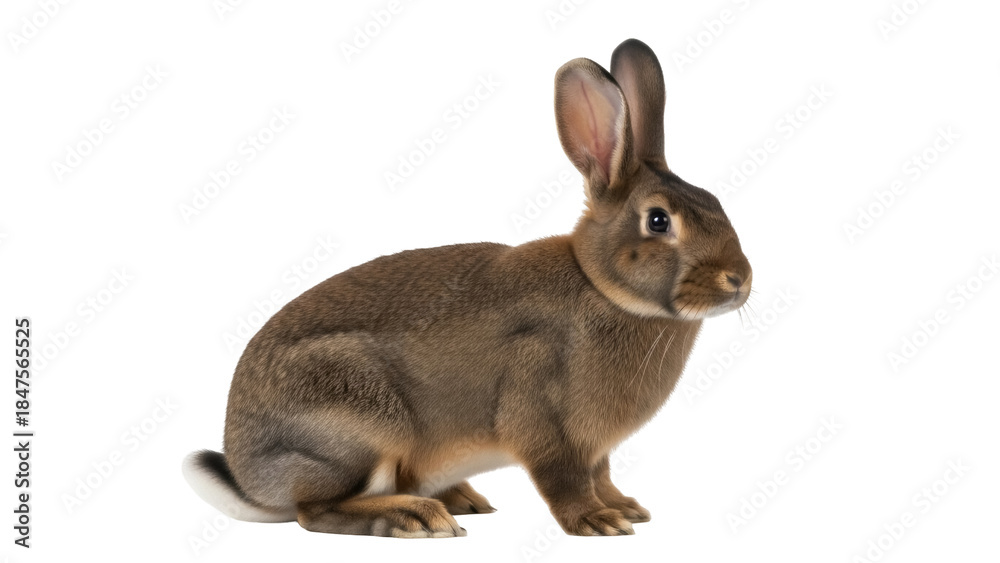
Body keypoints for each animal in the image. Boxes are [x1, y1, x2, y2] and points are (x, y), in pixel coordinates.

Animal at [183, 38, 752, 538]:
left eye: (715, 201)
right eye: (658, 221)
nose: (740, 279)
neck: (601, 286)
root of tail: (250, 476)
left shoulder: (596, 449)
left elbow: (602, 473)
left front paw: (625, 507)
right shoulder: (542, 418)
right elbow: (563, 479)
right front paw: (598, 522)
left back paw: (457, 499)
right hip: (357, 427)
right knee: (314, 510)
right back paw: (415, 517)